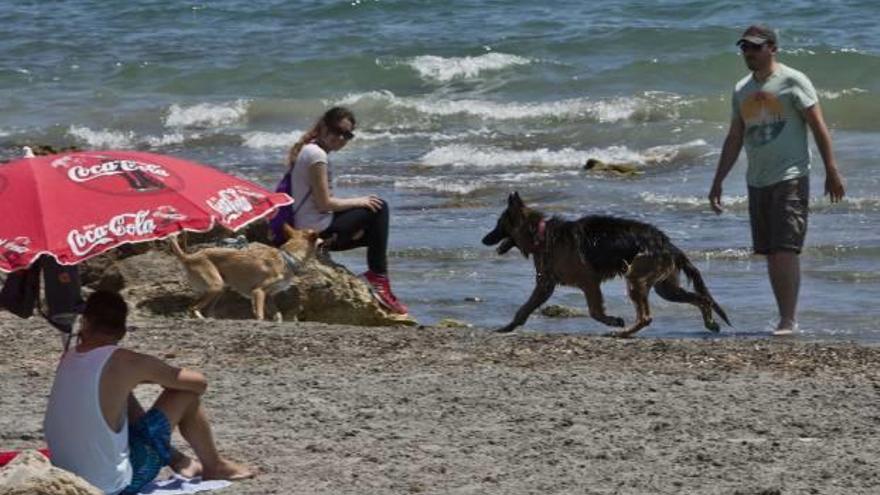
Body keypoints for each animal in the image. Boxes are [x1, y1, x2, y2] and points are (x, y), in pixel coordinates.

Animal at [168, 226, 320, 322]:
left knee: (198, 307)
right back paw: (200, 318)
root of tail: (188, 256)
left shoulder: (269, 296)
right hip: (215, 286)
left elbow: (278, 315)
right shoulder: (258, 291)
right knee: (193, 307)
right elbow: (260, 314)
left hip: (220, 289)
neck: (288, 257)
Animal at [482, 193, 728, 338]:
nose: (484, 239)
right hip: (666, 289)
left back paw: (623, 333)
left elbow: (594, 311)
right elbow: (523, 310)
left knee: (646, 317)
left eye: (498, 225)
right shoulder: (545, 286)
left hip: (635, 279)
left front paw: (613, 321)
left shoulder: (589, 283)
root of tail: (667, 243)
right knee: (702, 299)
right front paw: (507, 328)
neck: (542, 234)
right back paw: (710, 324)